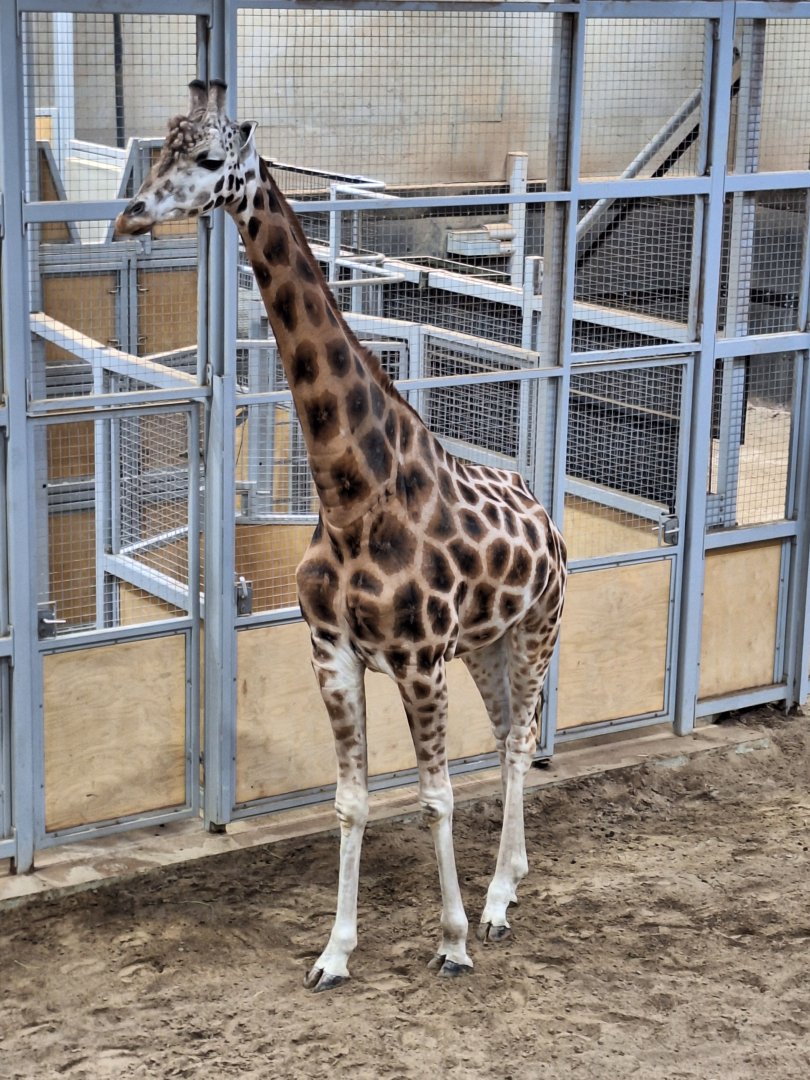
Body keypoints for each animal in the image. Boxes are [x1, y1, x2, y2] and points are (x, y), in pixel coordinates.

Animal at [116, 81, 567, 992]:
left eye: (209, 159)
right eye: (159, 149)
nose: (130, 217)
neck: (353, 497)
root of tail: (544, 515)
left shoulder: (420, 659)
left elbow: (433, 796)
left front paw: (452, 942)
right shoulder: (330, 650)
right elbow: (352, 801)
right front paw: (334, 953)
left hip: (538, 627)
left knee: (515, 744)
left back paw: (497, 905)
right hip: (488, 644)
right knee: (511, 731)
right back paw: (510, 879)